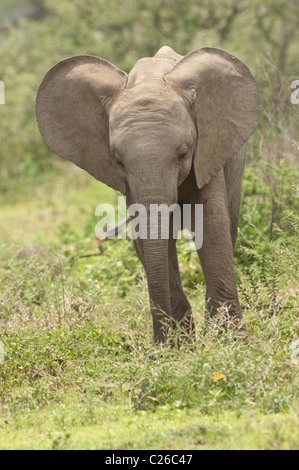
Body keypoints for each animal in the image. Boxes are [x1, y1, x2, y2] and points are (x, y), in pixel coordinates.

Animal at [36, 46, 262, 342]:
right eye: (118, 161)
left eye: (183, 153)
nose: (158, 341)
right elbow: (146, 236)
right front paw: (178, 346)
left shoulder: (207, 153)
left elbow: (211, 226)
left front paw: (229, 341)